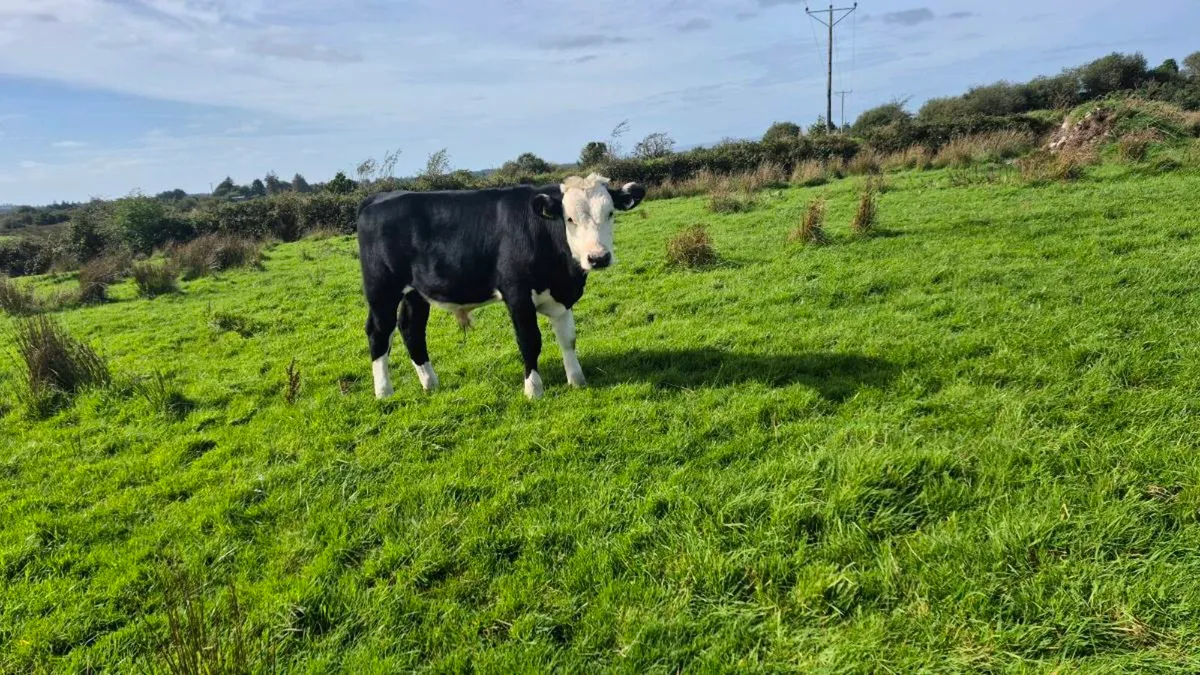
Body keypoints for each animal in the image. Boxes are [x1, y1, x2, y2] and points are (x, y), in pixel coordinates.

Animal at [356, 173, 646, 400]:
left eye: (610, 213)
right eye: (570, 219)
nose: (598, 258)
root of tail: (377, 199)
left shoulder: (562, 297)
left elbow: (568, 339)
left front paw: (576, 380)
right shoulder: (517, 294)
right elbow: (530, 340)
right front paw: (533, 390)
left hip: (416, 292)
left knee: (411, 328)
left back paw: (430, 383)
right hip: (382, 288)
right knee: (379, 331)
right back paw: (384, 391)